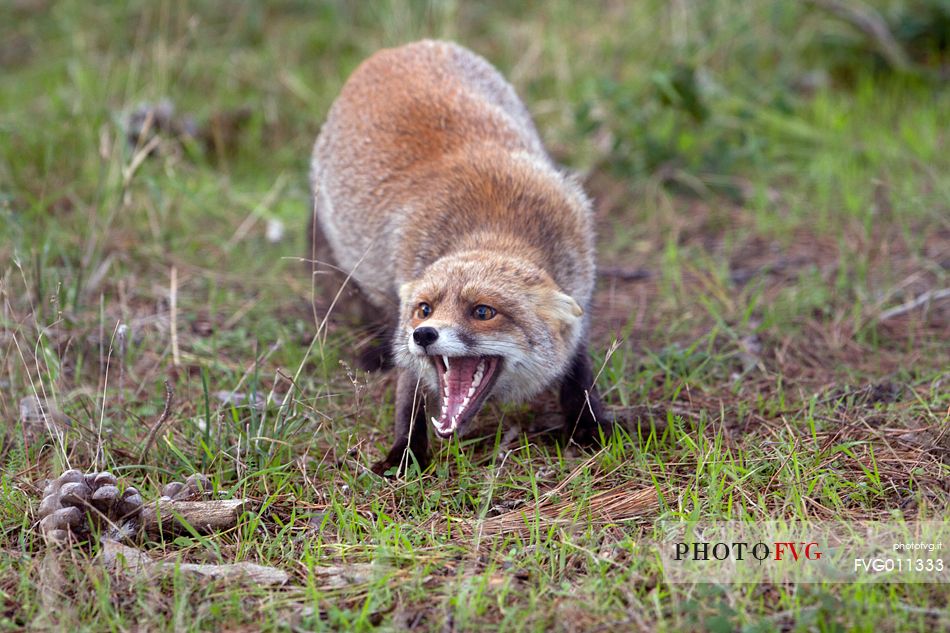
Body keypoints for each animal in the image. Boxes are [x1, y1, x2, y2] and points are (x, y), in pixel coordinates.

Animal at [312, 39, 608, 474]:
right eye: (424, 310)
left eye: (483, 312)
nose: (423, 335)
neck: (497, 225)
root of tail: (400, 48)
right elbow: (409, 396)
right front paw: (405, 454)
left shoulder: (580, 288)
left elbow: (578, 370)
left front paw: (589, 426)